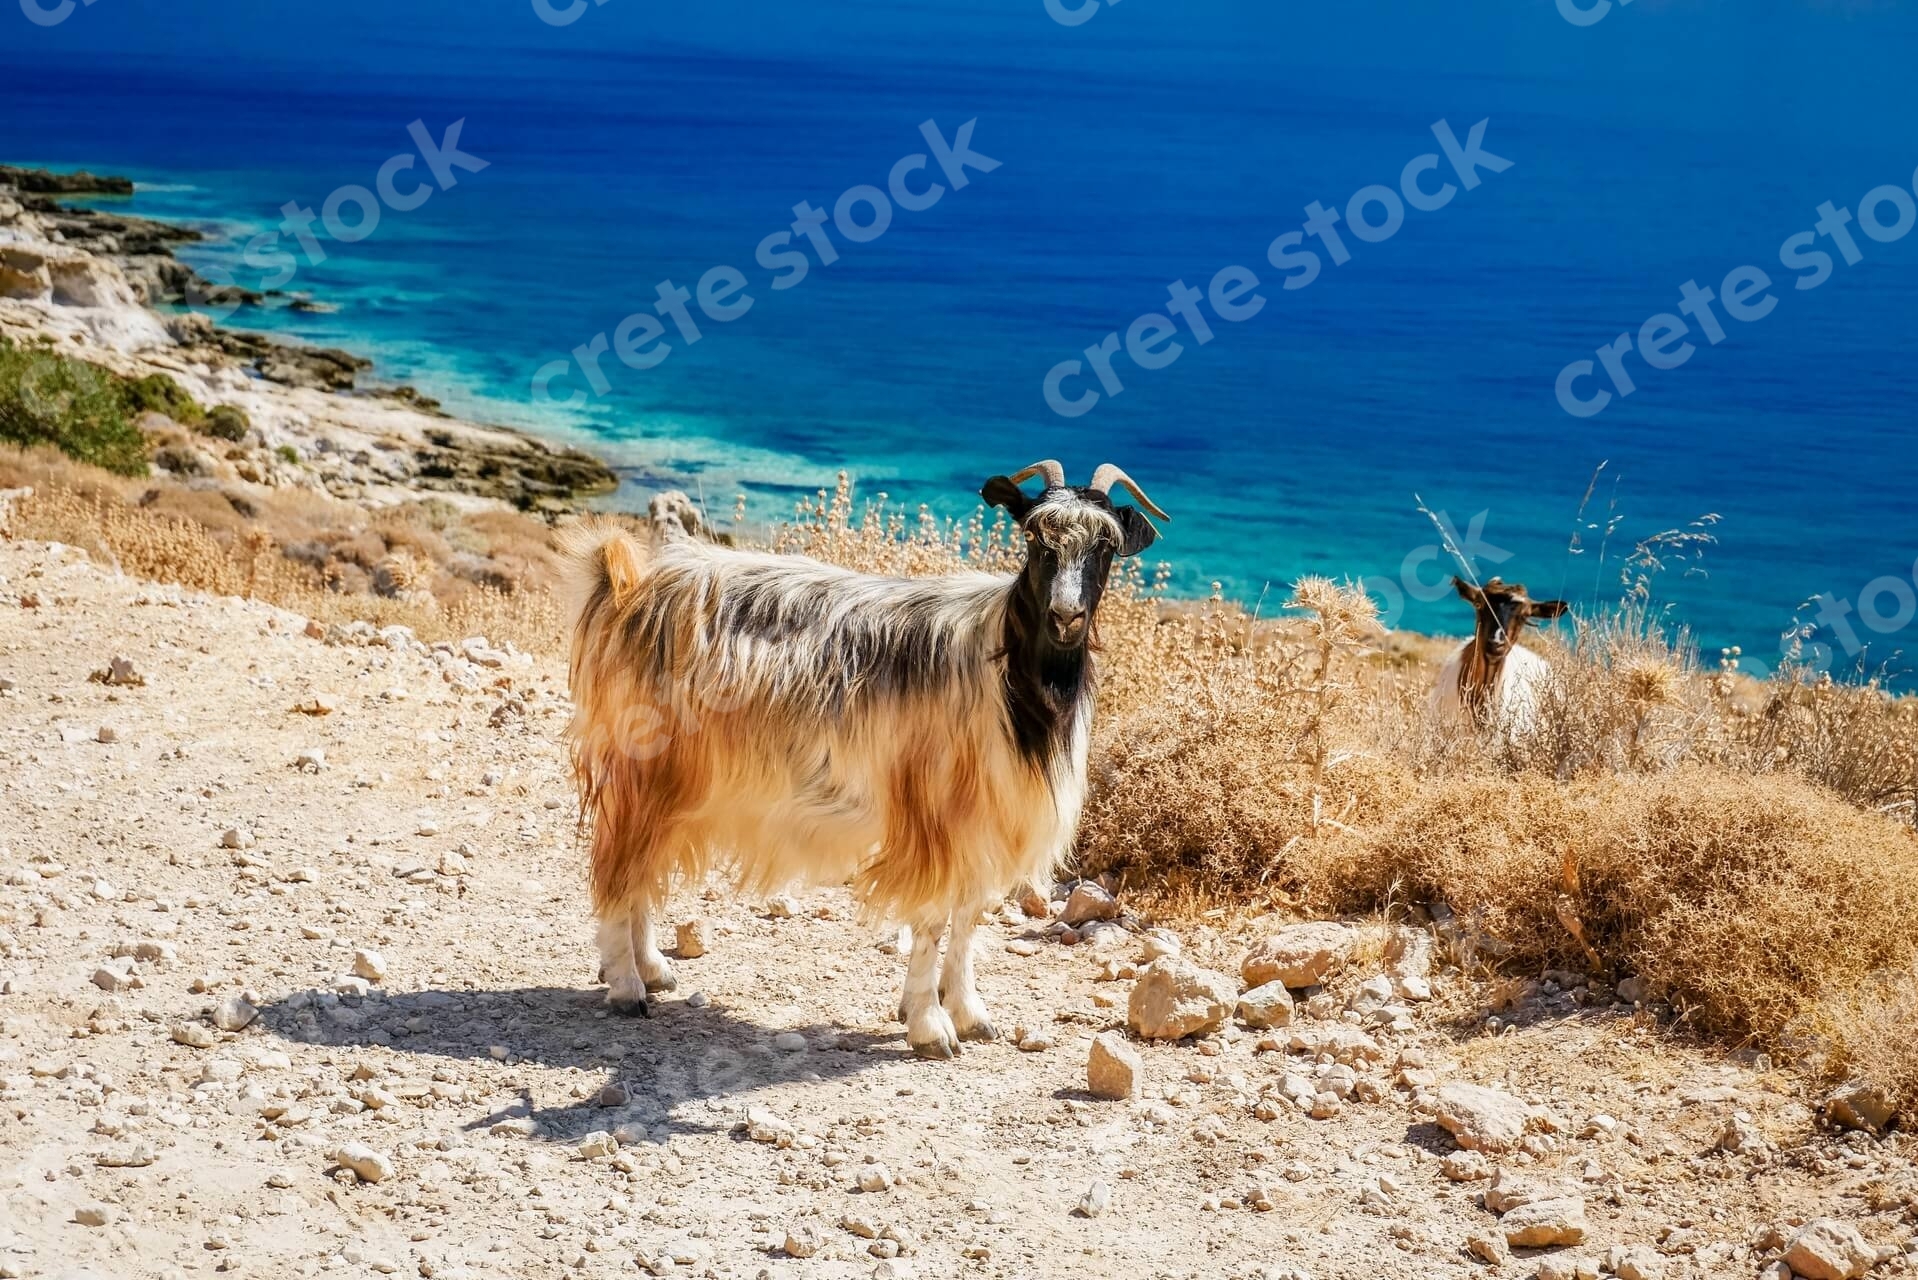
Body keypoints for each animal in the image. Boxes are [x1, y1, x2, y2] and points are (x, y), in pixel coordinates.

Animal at [560, 466, 1158, 1059]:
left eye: (1106, 545)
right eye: (1033, 538)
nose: (1065, 617)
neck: (1009, 678)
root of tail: (630, 589)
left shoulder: (984, 820)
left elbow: (969, 916)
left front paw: (968, 1014)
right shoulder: (934, 817)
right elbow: (932, 919)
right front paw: (929, 1024)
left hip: (675, 783)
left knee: (642, 863)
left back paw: (652, 969)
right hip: (644, 767)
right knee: (618, 864)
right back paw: (627, 986)